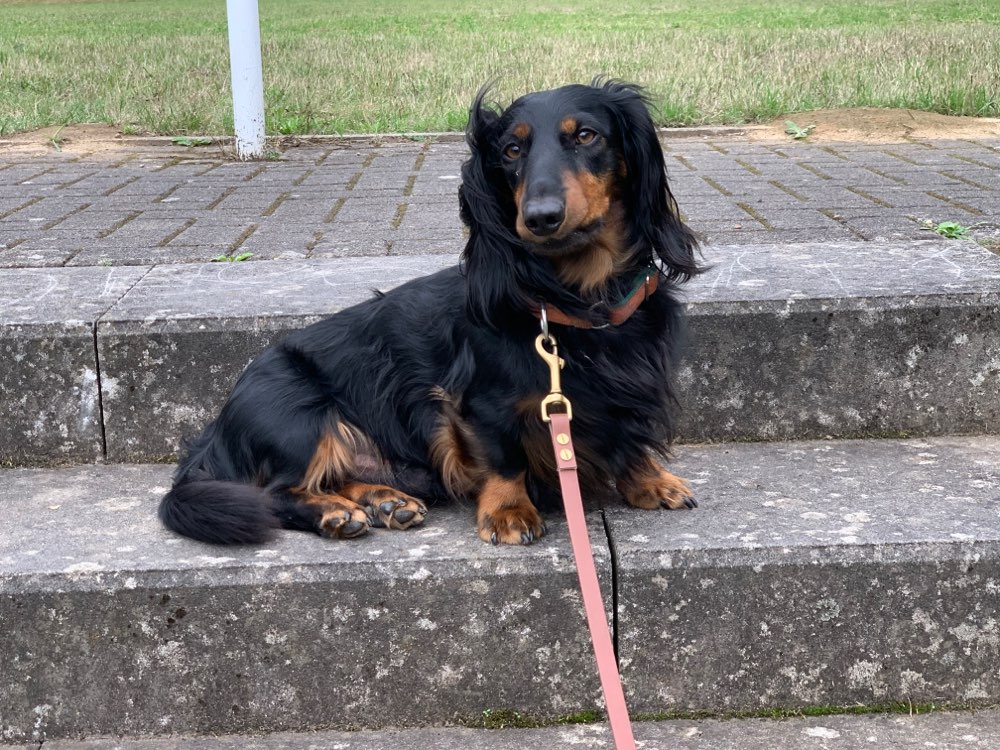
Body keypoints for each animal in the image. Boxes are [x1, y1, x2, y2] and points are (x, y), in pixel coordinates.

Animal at [159, 79, 701, 546]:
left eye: (586, 135)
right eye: (511, 151)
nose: (540, 218)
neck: (575, 300)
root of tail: (214, 430)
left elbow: (628, 438)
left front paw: (649, 480)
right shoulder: (481, 404)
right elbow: (504, 456)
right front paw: (508, 511)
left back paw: (383, 500)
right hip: (297, 413)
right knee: (275, 494)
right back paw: (334, 512)